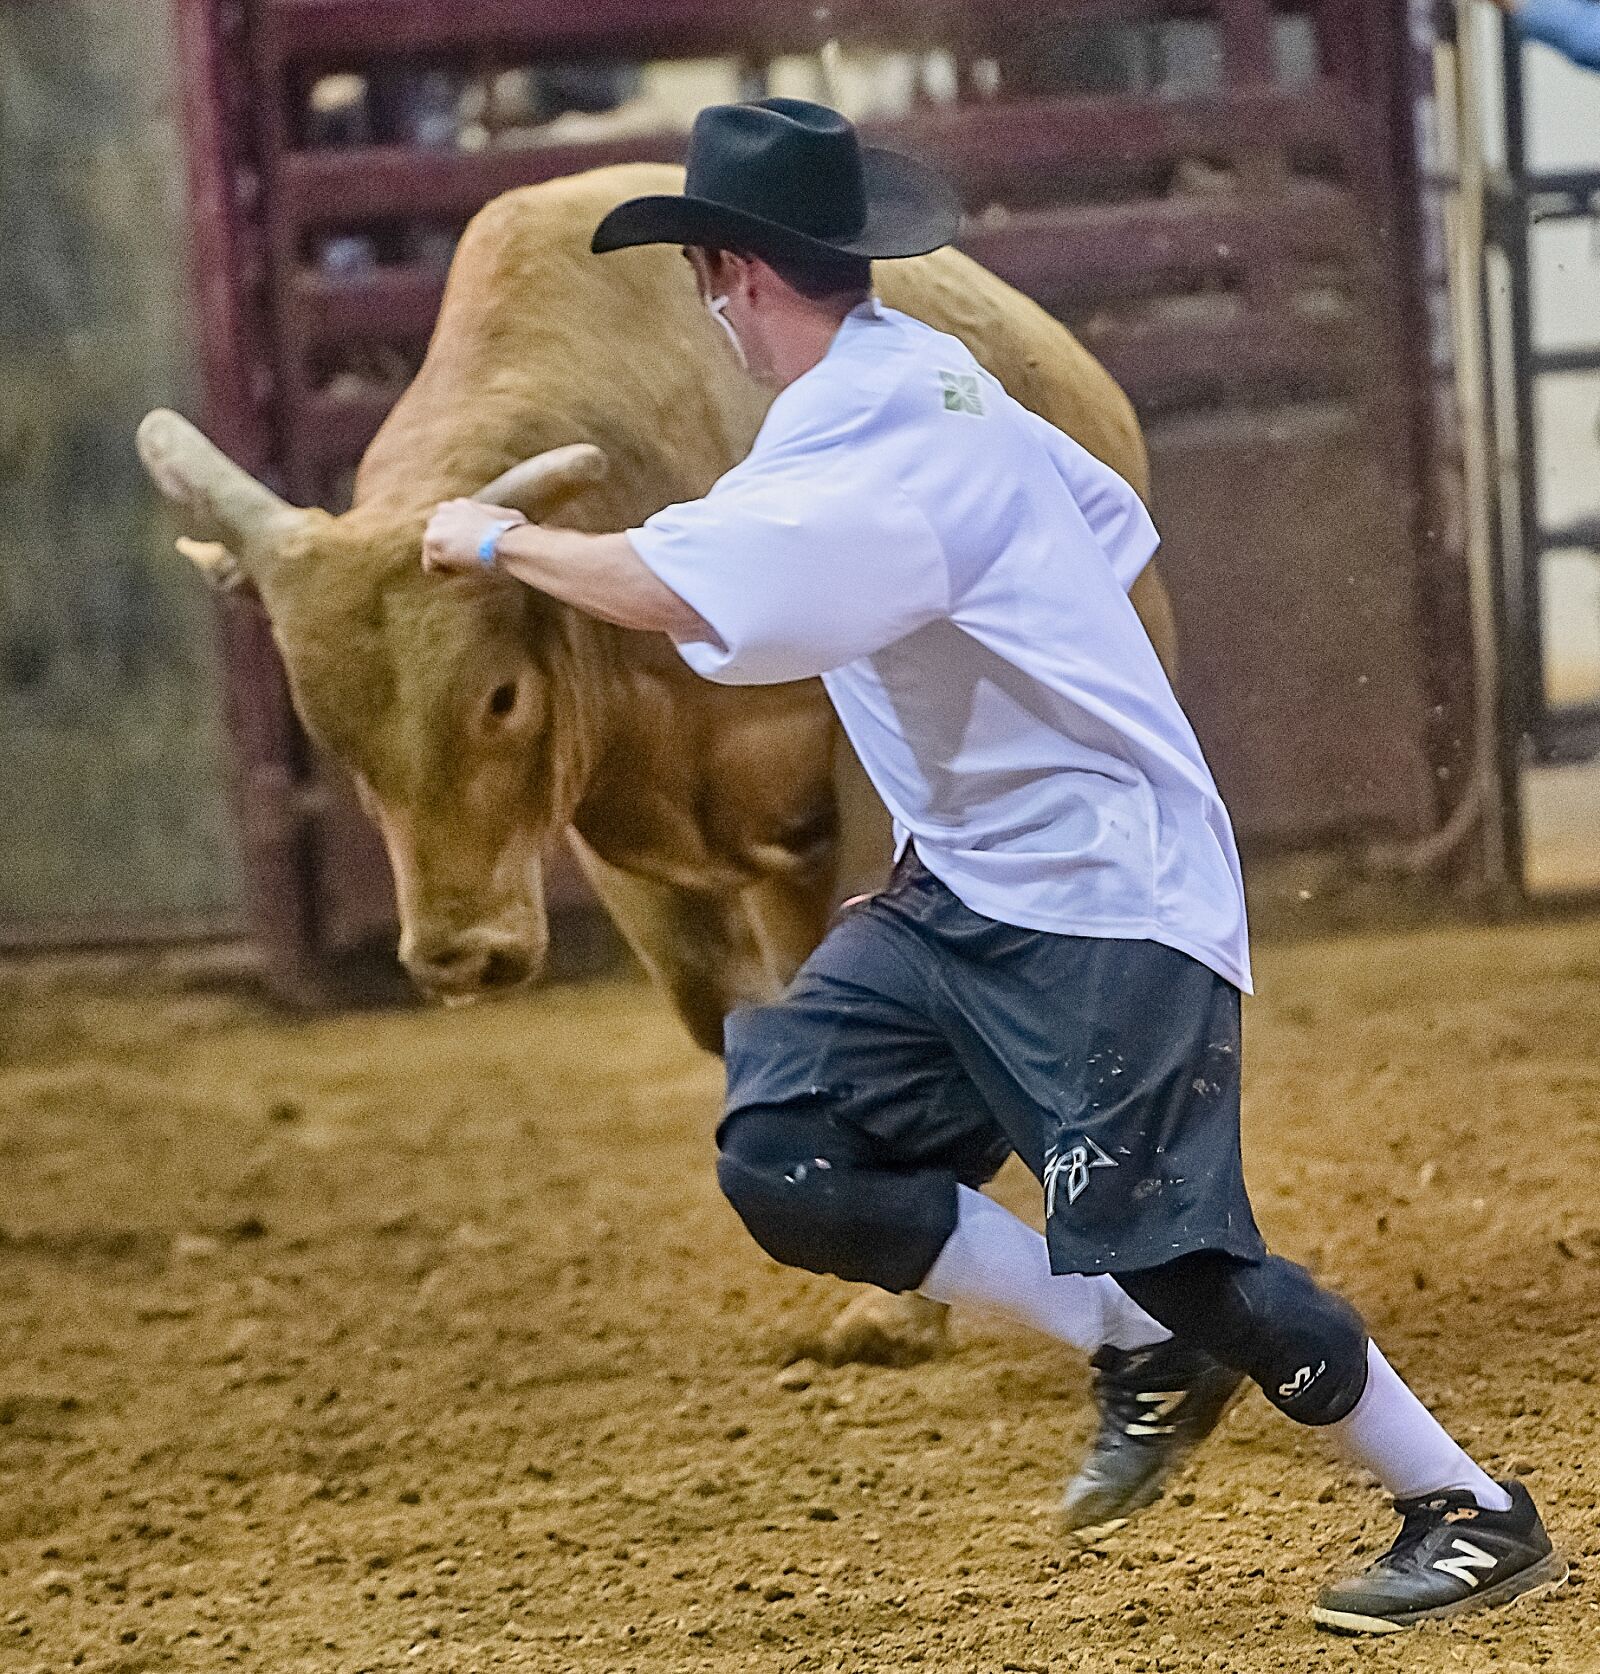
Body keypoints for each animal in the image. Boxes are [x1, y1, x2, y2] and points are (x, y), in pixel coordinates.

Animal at [143, 157, 1178, 1359]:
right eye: (329, 727)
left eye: (500, 696)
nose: (458, 955)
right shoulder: (619, 835)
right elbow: (726, 1007)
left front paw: (894, 1309)